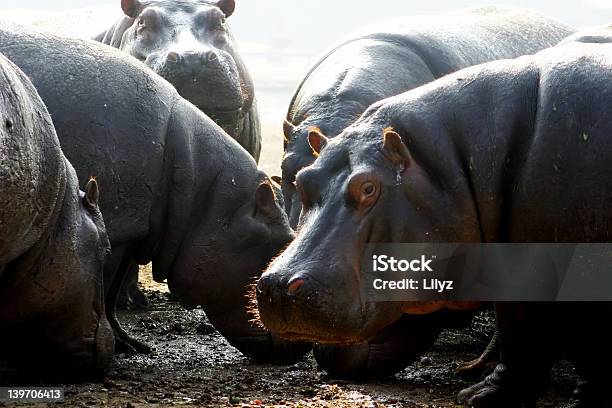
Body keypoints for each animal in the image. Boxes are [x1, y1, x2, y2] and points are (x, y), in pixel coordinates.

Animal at [256, 42, 612, 408]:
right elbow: (520, 339)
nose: (278, 286)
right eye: (301, 179)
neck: (456, 163)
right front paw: (479, 394)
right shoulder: (520, 276)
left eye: (368, 188)